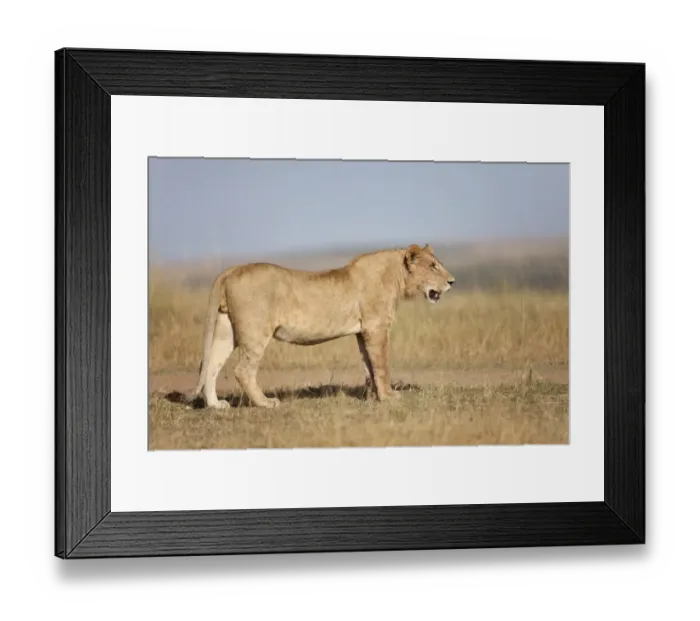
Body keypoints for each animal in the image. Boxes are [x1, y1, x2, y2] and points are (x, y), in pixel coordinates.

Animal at [190, 244, 455, 409]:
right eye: (433, 266)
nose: (452, 282)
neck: (398, 277)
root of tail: (232, 269)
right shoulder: (376, 326)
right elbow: (381, 365)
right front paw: (389, 397)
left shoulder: (363, 331)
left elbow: (369, 365)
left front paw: (372, 397)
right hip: (255, 332)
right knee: (242, 371)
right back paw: (266, 403)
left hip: (226, 330)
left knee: (210, 365)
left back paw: (216, 406)